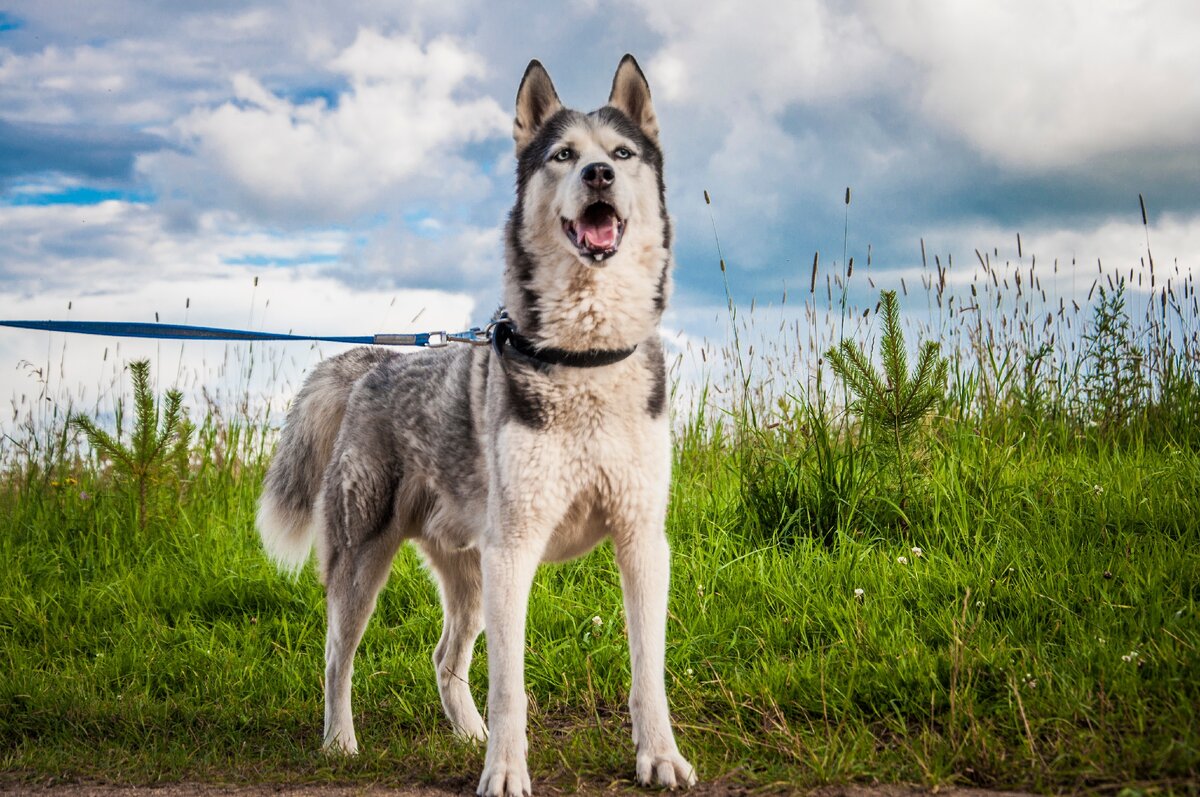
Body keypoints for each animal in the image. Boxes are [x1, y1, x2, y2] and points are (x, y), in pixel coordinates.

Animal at [258, 52, 700, 792]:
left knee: (444, 656)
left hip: (468, 575)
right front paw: (506, 772)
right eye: (563, 155)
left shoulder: (641, 539)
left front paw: (659, 756)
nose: (598, 175)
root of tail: (373, 363)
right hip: (367, 562)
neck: (583, 355)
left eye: (621, 153)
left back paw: (469, 734)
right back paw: (341, 741)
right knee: (335, 657)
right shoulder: (514, 551)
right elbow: (510, 684)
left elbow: (649, 672)